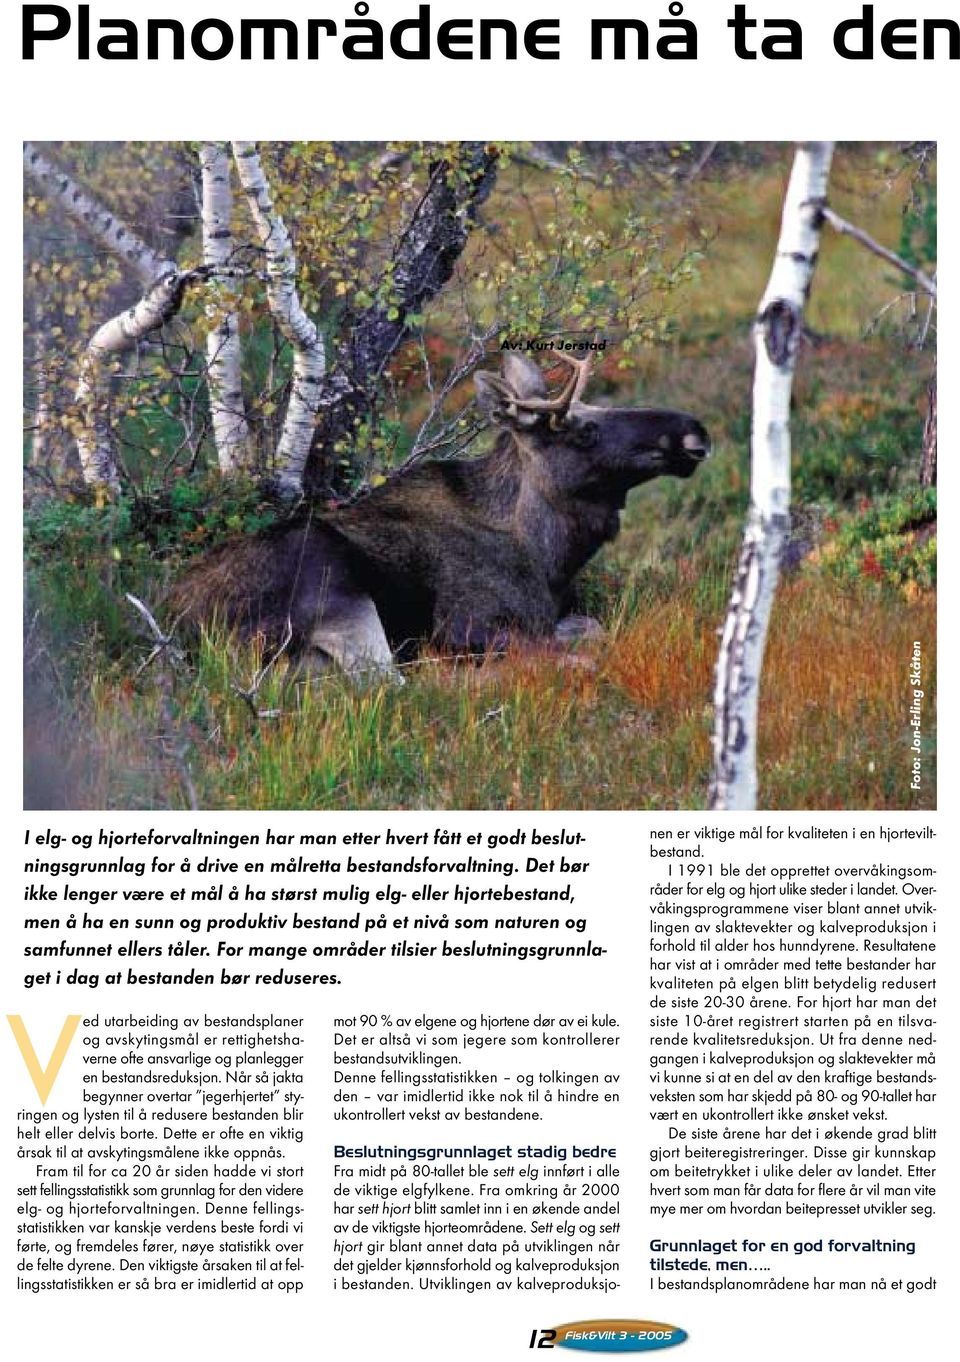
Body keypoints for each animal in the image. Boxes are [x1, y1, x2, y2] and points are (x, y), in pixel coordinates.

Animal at [164, 348, 708, 672]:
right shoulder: (464, 624)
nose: (692, 429)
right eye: (584, 429)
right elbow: (572, 652)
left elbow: (589, 629)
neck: (549, 555)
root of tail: (179, 623)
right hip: (335, 593)